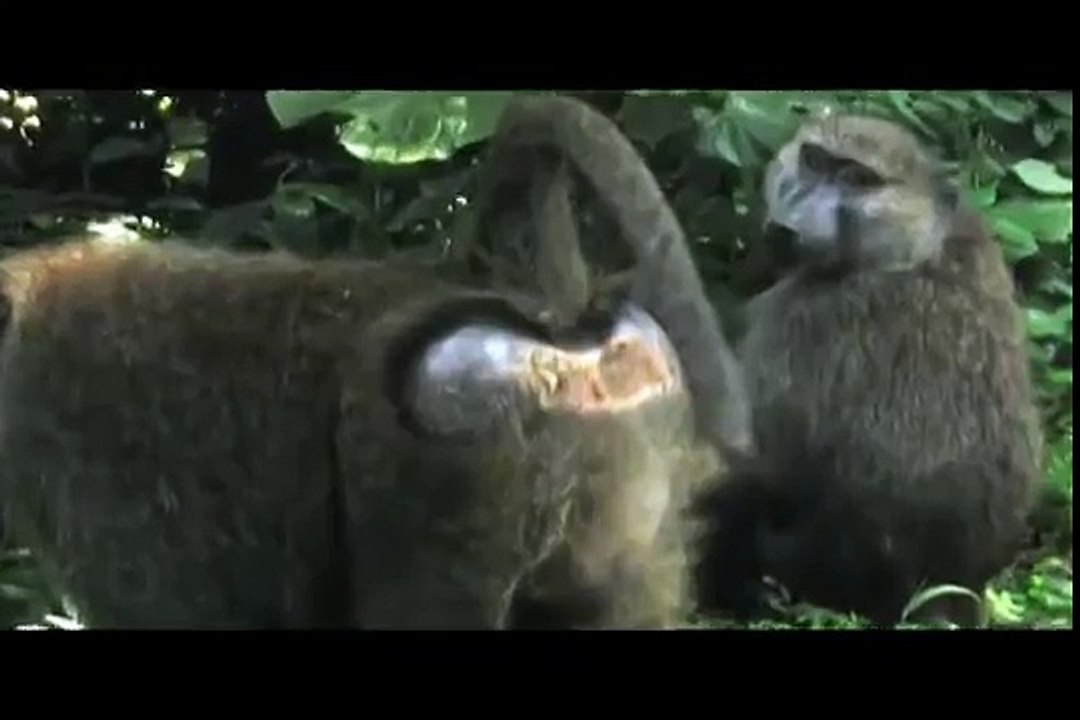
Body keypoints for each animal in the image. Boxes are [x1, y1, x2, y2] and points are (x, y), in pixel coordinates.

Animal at [694, 114, 1044, 627]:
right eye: (815, 161)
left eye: (858, 180)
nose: (795, 214)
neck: (915, 248)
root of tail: (948, 599)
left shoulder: (803, 319)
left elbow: (750, 458)